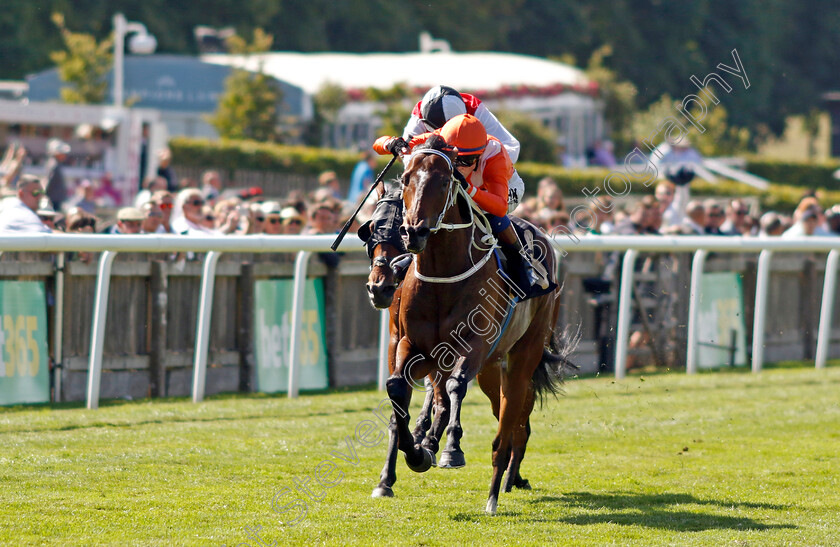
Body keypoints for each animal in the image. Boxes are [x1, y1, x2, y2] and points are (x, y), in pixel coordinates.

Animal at [384, 136, 576, 512]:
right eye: (406, 177)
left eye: (444, 181)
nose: (414, 232)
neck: (442, 275)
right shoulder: (411, 345)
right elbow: (398, 388)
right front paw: (416, 452)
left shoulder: (474, 344)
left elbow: (456, 385)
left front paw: (451, 449)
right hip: (488, 368)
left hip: (520, 357)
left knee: (509, 425)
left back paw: (494, 493)